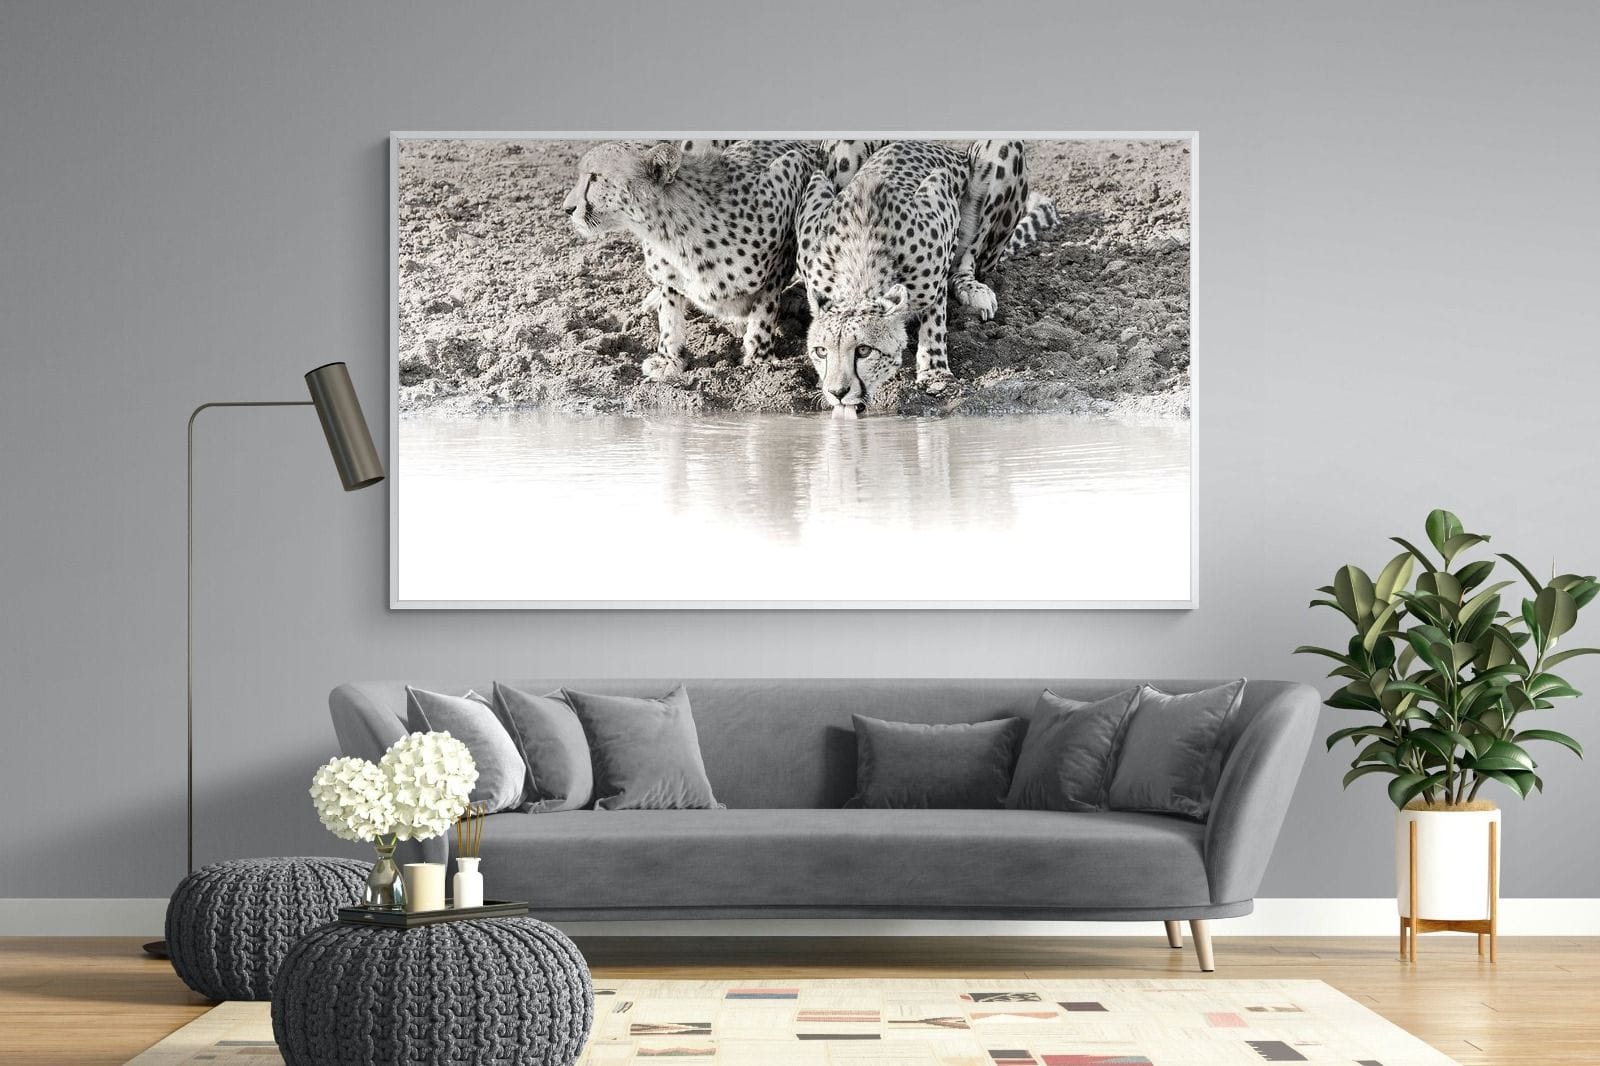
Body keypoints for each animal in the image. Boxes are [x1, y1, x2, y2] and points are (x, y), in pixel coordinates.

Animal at [562, 138, 817, 380]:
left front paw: (759, 357)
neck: (669, 230)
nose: (567, 208)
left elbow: (766, 304)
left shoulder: (796, 170)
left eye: (594, 177)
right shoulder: (669, 275)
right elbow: (669, 311)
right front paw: (668, 357)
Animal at [796, 139, 1054, 413]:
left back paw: (973, 289)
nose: (837, 392)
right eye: (821, 351)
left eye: (863, 350)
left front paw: (935, 372)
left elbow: (935, 319)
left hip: (1002, 151)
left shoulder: (942, 203)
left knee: (970, 257)